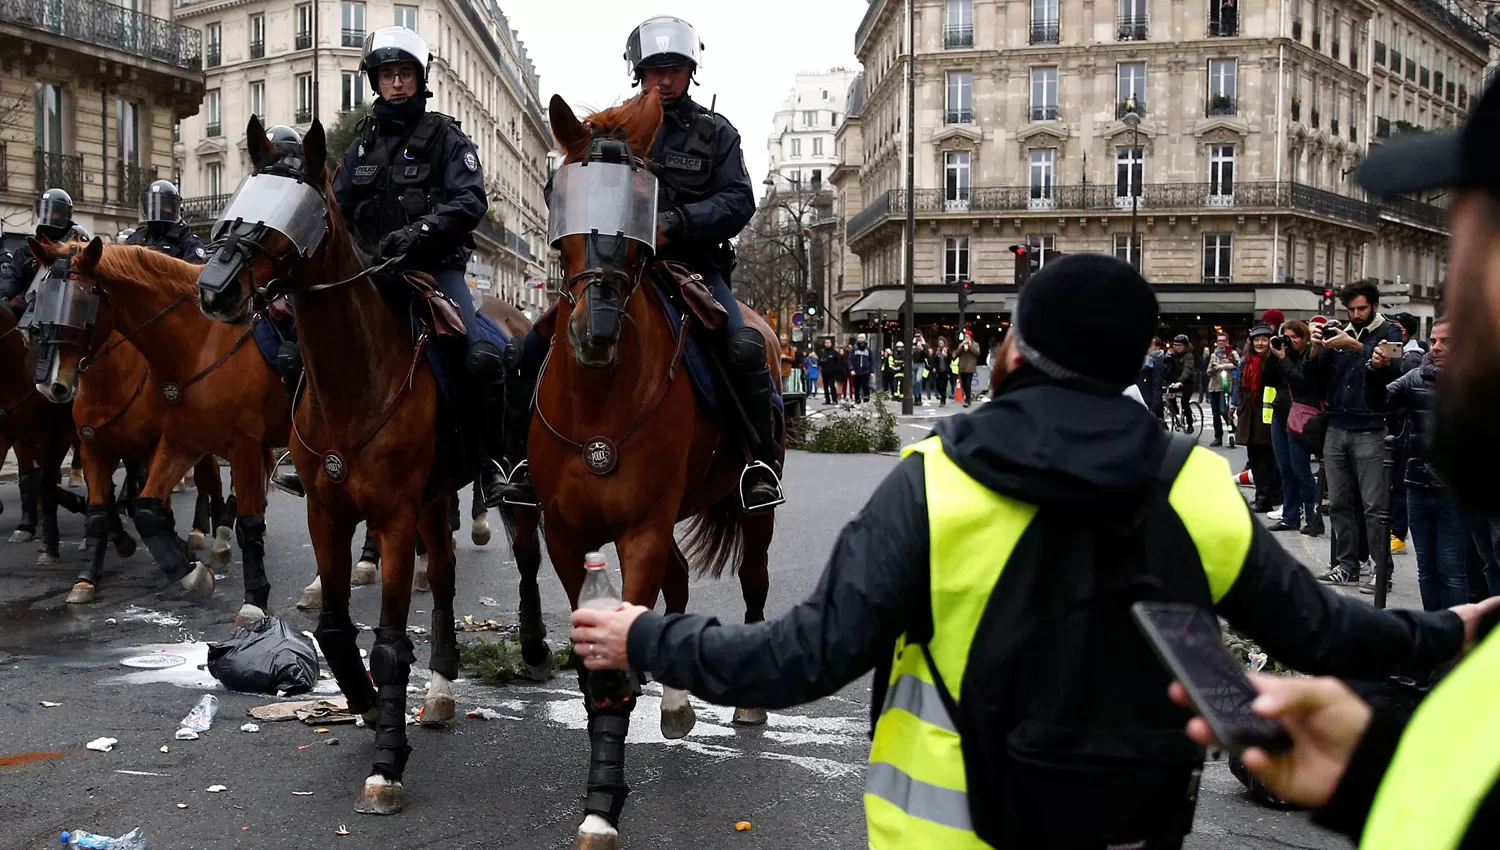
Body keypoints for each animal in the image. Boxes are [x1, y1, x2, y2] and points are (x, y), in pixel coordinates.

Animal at [30, 236, 289, 620]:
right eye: (37, 301)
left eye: (80, 302)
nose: (51, 385)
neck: (200, 342)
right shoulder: (127, 445)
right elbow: (131, 510)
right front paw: (89, 580)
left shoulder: (236, 443)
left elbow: (243, 518)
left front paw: (249, 597)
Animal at [196, 116, 549, 815]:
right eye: (242, 196)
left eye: (291, 212)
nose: (213, 289)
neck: (355, 377)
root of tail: (512, 313)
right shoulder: (328, 516)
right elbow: (335, 626)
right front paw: (360, 701)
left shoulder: (391, 521)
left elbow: (387, 642)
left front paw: (388, 762)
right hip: (436, 497)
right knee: (443, 577)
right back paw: (440, 690)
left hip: (504, 481)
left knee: (524, 560)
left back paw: (531, 644)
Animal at [534, 92, 780, 850]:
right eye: (561, 196)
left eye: (643, 210)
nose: (595, 333)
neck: (598, 400)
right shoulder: (566, 536)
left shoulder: (639, 528)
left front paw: (600, 809)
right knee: (676, 581)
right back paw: (673, 704)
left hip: (754, 507)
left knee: (752, 578)